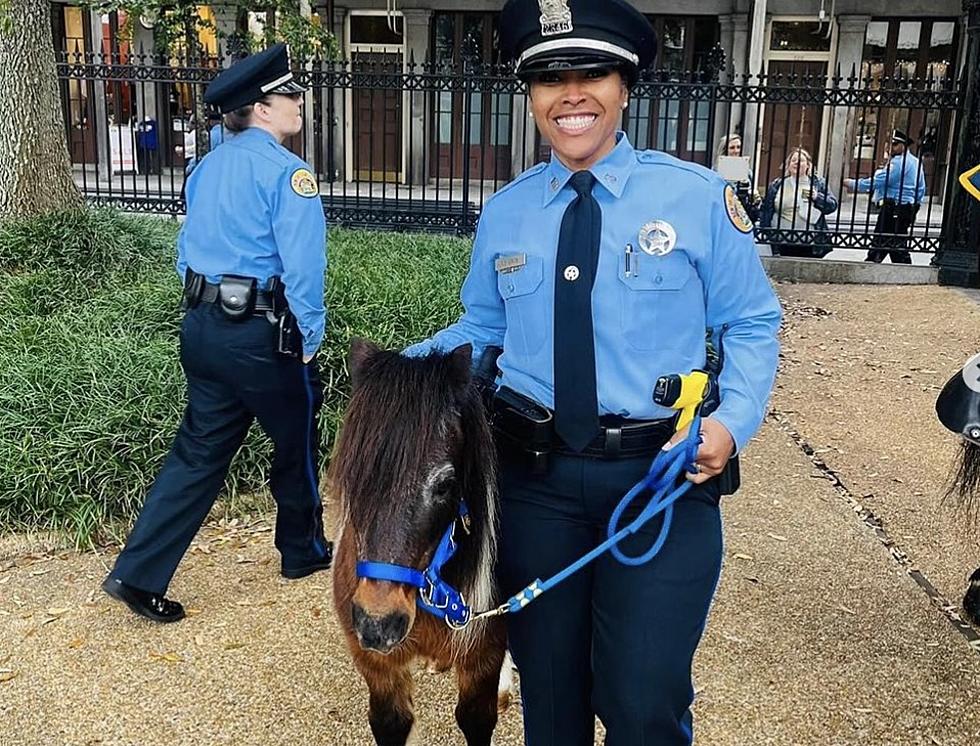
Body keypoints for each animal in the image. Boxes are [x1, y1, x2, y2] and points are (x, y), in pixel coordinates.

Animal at [332, 338, 510, 744]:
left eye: (445, 484)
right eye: (352, 477)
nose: (378, 623)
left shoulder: (483, 657)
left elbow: (475, 719)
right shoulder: (377, 664)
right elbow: (391, 722)